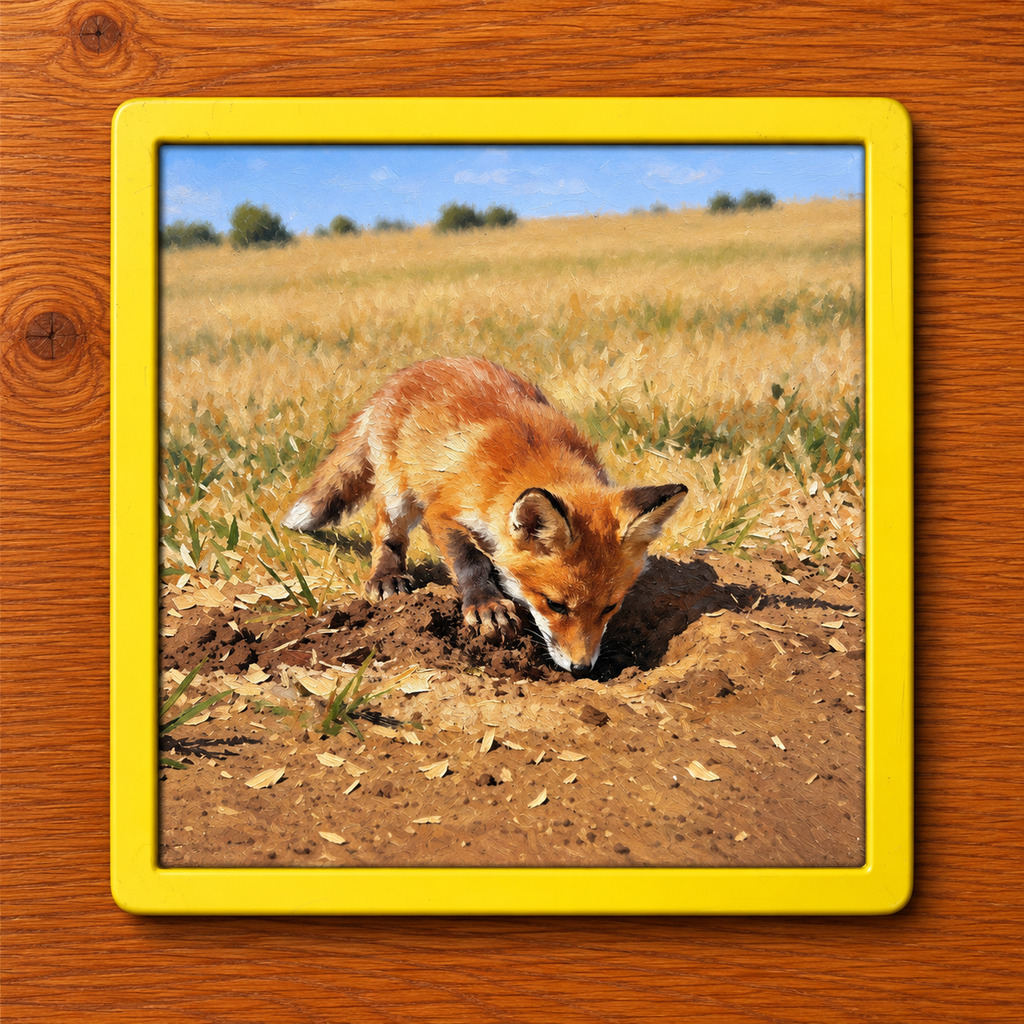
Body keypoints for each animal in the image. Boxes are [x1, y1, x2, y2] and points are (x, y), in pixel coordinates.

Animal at [282, 357, 688, 676]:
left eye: (610, 607)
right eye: (555, 604)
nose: (582, 668)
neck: (526, 466)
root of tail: (410, 370)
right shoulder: (442, 511)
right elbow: (469, 560)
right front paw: (486, 604)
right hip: (399, 493)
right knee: (386, 533)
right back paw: (387, 576)